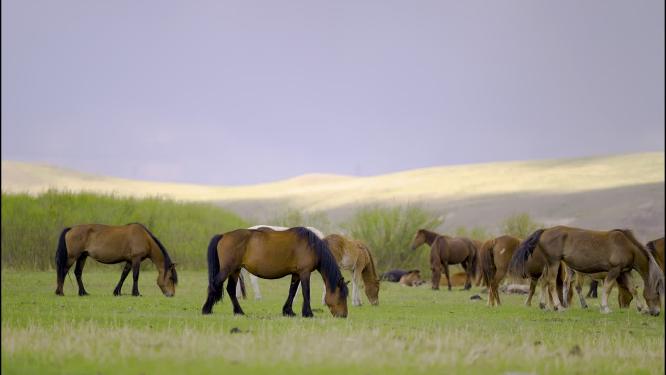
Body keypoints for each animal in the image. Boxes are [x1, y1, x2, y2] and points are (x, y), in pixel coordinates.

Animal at [200, 228, 348, 318]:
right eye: (341, 296)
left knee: (230, 289)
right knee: (215, 284)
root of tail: (223, 235)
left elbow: (292, 291)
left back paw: (239, 312)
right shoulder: (305, 273)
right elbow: (306, 292)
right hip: (228, 269)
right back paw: (206, 309)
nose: (344, 315)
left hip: (235, 270)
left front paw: (288, 311)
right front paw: (308, 313)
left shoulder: (296, 274)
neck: (311, 246)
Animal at [508, 228, 660, 316]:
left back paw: (544, 305)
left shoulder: (624, 272)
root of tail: (545, 231)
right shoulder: (614, 270)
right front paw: (605, 308)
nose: (657, 312)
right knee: (550, 283)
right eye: (658, 293)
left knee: (544, 282)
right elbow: (607, 288)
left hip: (551, 265)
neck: (626, 245)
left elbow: (633, 289)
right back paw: (559, 307)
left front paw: (641, 308)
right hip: (554, 263)